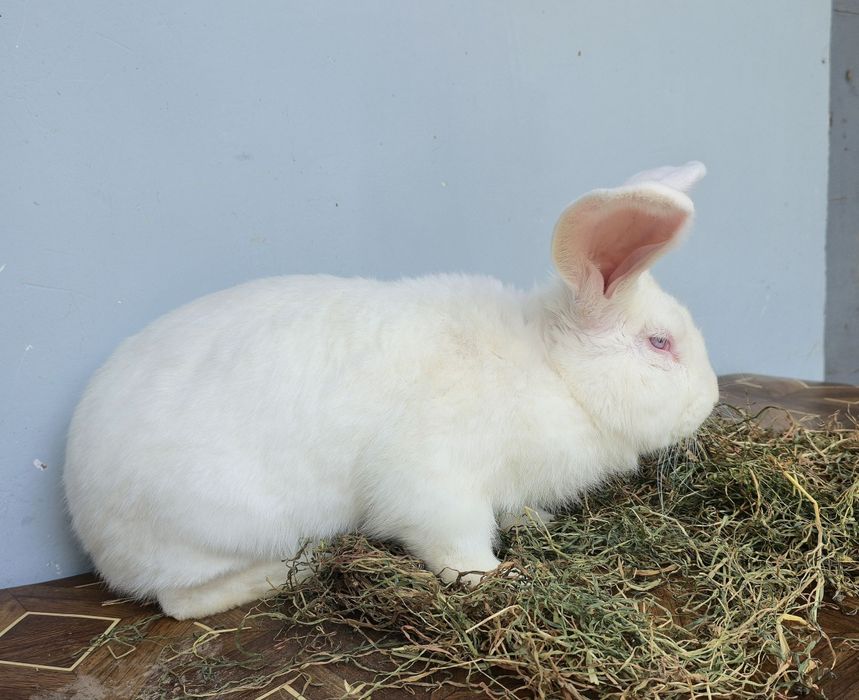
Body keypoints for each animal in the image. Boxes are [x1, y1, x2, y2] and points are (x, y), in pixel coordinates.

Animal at [63, 162, 719, 620]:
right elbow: (456, 545)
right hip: (220, 527)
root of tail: (86, 519)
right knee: (180, 602)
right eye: (660, 343)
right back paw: (298, 570)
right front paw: (499, 578)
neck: (550, 368)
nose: (711, 399)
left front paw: (538, 523)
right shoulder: (436, 484)